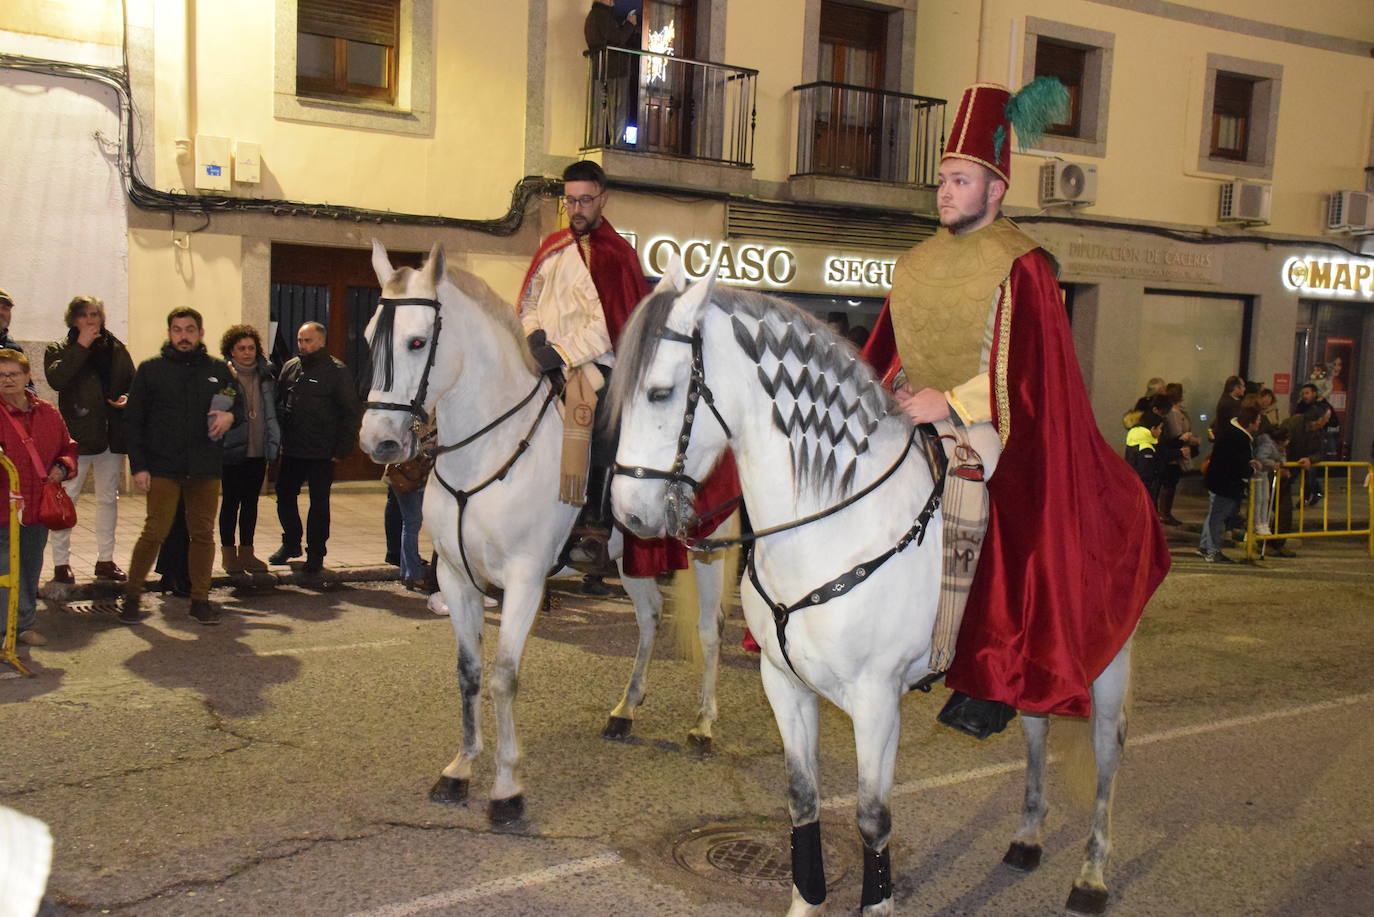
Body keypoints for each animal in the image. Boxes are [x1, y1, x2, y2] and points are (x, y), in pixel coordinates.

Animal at [359, 241, 736, 824]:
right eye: (367, 337)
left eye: (417, 341)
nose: (378, 442)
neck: (487, 449)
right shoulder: (456, 578)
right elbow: (469, 672)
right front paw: (460, 768)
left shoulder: (525, 580)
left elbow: (503, 675)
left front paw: (506, 788)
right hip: (630, 558)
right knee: (650, 619)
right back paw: (626, 710)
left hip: (709, 549)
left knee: (709, 629)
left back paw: (702, 725)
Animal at [607, 261, 1132, 912]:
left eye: (660, 392)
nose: (628, 513)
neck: (829, 525)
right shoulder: (785, 684)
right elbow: (802, 800)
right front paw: (806, 900)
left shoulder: (878, 700)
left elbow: (872, 818)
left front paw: (877, 902)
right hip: (1028, 664)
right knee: (1037, 725)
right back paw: (1028, 837)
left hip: (1106, 665)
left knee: (1107, 753)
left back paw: (1091, 875)